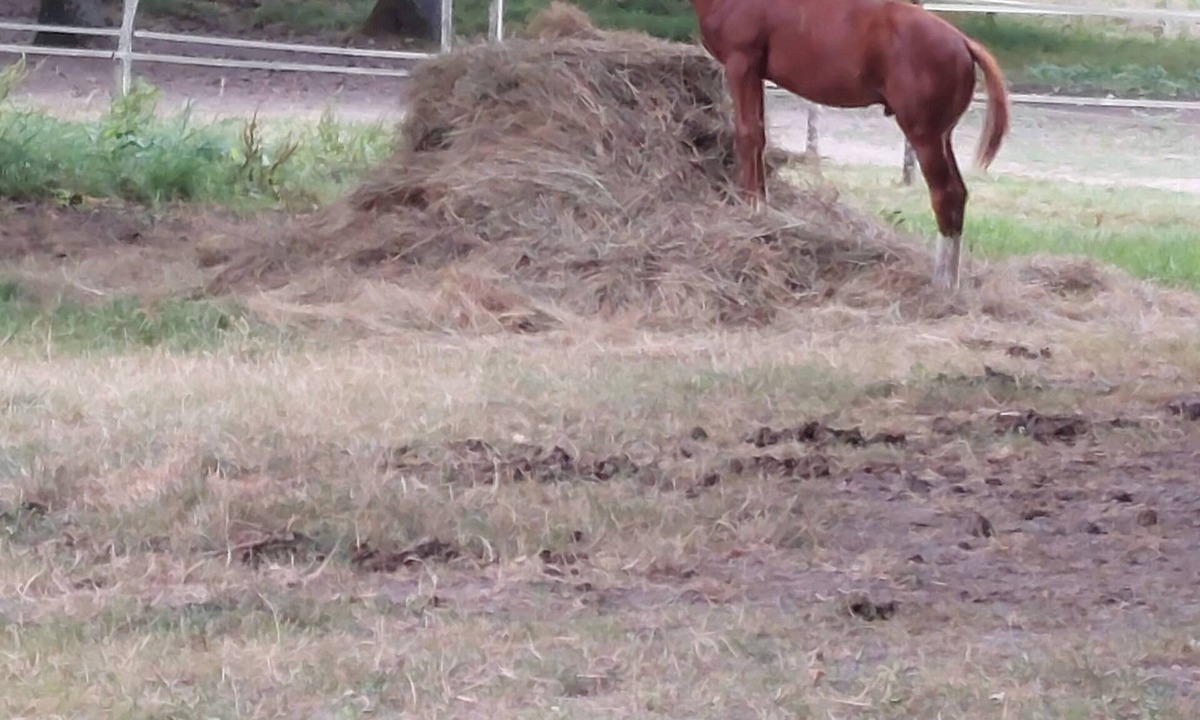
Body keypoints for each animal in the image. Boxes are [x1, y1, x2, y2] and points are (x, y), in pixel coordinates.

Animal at [689, 0, 1011, 291]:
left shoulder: (742, 65)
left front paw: (753, 212)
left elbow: (749, 137)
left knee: (946, 195)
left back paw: (942, 284)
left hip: (925, 138)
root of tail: (964, 43)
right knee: (958, 195)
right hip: (942, 138)